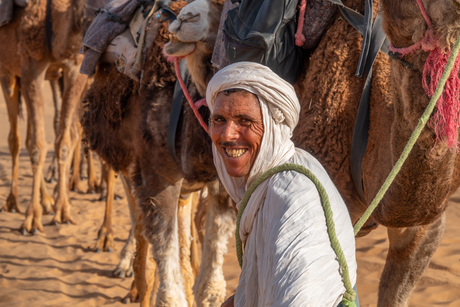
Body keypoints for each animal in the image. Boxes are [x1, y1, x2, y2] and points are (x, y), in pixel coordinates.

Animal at [80, 1, 235, 306]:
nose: (185, 19)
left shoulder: (220, 180)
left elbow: (209, 287)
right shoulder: (156, 174)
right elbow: (169, 289)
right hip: (129, 167)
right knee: (144, 245)